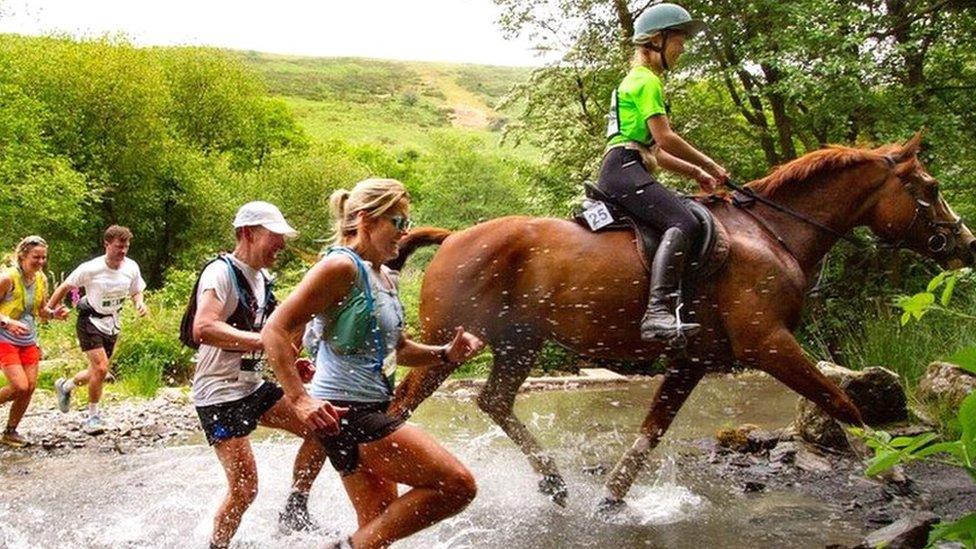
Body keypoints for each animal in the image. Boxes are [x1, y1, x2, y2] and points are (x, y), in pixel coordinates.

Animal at [386, 133, 972, 506]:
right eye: (932, 188)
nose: (965, 243)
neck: (773, 233)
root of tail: (453, 238)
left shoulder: (695, 358)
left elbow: (652, 431)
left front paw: (612, 498)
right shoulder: (770, 343)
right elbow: (842, 402)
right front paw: (895, 468)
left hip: (518, 342)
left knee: (494, 401)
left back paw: (553, 483)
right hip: (452, 344)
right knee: (398, 407)